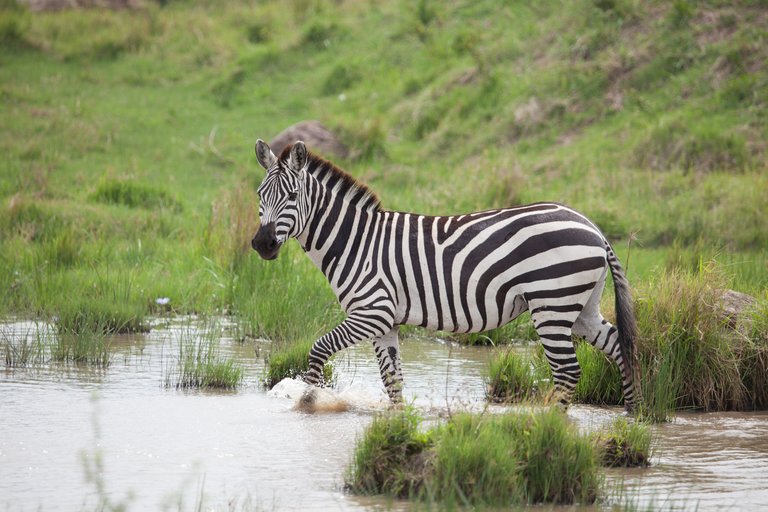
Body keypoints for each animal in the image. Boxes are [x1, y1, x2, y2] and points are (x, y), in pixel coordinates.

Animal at [252, 140, 640, 412]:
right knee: (621, 349)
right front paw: (397, 424)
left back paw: (550, 427)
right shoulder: (386, 323)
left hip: (552, 305)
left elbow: (318, 350)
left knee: (567, 371)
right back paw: (633, 417)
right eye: (259, 195)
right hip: (581, 308)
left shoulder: (371, 312)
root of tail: (594, 229)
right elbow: (393, 381)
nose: (262, 243)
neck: (356, 242)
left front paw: (306, 404)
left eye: (291, 195)